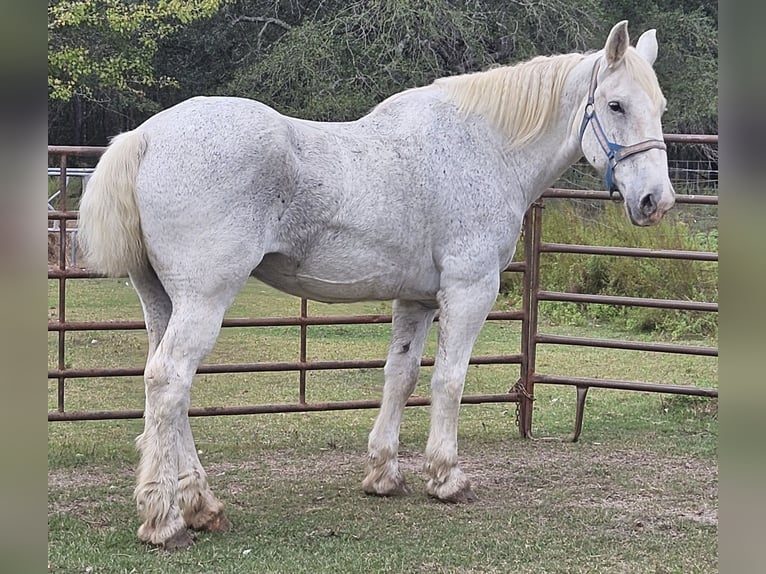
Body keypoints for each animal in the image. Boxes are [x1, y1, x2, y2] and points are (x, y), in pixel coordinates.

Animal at [77, 20, 675, 549]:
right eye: (617, 105)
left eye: (660, 108)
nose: (656, 201)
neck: (487, 148)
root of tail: (147, 136)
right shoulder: (470, 290)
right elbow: (449, 380)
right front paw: (446, 477)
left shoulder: (416, 299)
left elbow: (400, 377)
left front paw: (384, 473)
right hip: (203, 300)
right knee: (169, 381)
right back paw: (165, 521)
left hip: (162, 301)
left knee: (166, 390)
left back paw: (200, 506)